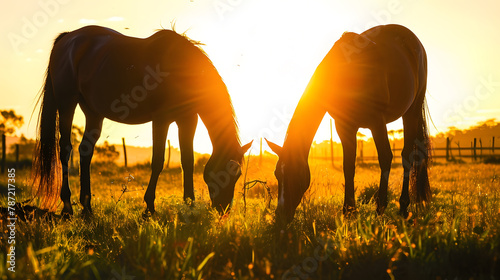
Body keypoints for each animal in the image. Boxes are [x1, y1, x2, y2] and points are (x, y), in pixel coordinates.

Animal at [31, 25, 252, 217]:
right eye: (221, 172)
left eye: (238, 175)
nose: (223, 210)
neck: (180, 67)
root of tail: (68, 38)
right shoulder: (161, 120)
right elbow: (158, 161)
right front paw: (149, 208)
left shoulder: (187, 120)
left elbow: (187, 161)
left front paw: (189, 204)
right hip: (66, 104)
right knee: (65, 149)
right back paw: (67, 206)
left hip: (94, 112)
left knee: (85, 151)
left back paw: (87, 208)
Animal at [268, 25, 432, 224]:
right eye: (277, 174)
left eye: (295, 174)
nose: (280, 215)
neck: (346, 73)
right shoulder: (344, 126)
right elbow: (348, 165)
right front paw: (349, 211)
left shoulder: (377, 121)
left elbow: (385, 157)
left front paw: (380, 208)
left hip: (412, 111)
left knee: (407, 155)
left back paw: (403, 206)